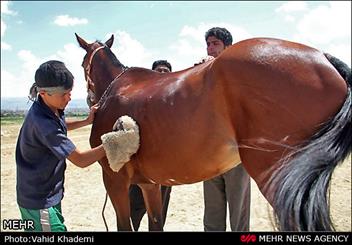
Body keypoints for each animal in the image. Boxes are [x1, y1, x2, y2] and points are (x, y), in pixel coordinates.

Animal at [74, 33, 350, 232]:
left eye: (82, 63)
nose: (89, 102)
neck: (118, 88)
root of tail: (323, 56)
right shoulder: (150, 185)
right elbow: (155, 224)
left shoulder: (115, 180)